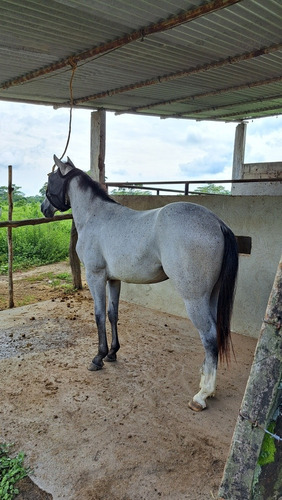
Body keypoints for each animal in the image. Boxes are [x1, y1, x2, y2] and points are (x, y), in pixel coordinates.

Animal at [41, 155, 238, 410]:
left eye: (50, 178)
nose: (44, 208)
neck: (95, 216)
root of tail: (217, 223)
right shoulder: (114, 279)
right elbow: (113, 314)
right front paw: (112, 353)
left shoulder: (95, 276)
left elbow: (99, 315)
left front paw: (98, 357)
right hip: (210, 295)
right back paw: (205, 382)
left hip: (194, 298)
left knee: (209, 335)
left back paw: (202, 395)